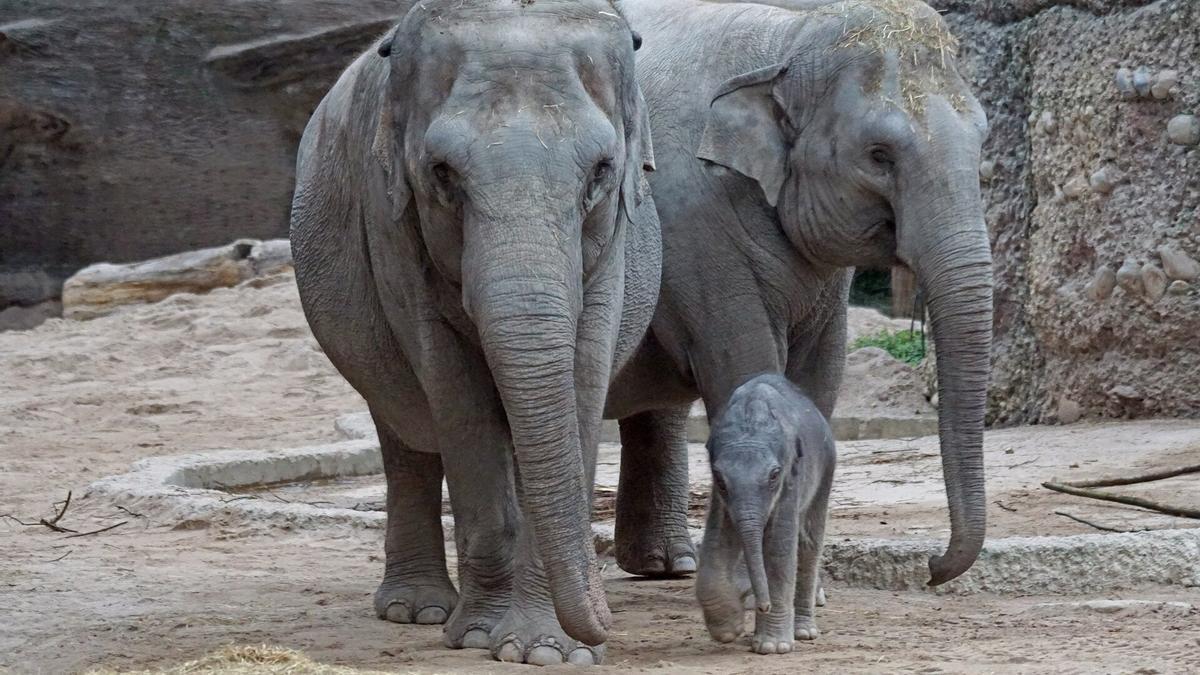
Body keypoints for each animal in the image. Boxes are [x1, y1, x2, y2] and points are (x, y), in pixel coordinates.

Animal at [291, 0, 662, 662]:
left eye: (601, 171)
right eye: (442, 173)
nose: (605, 620)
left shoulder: (614, 243)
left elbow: (584, 373)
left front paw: (550, 650)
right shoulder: (392, 222)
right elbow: (454, 391)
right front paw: (483, 636)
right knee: (402, 429)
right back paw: (417, 609)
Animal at [609, 0, 993, 588]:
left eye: (982, 139)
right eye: (879, 155)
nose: (931, 567)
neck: (789, 38)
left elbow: (821, 376)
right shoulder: (696, 228)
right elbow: (744, 362)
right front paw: (757, 588)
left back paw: (666, 566)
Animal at [696, 372, 835, 653]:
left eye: (774, 475)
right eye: (720, 479)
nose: (764, 605)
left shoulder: (791, 479)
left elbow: (778, 547)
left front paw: (773, 647)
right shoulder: (720, 498)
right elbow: (716, 541)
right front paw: (729, 629)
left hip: (826, 470)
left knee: (808, 545)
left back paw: (804, 632)